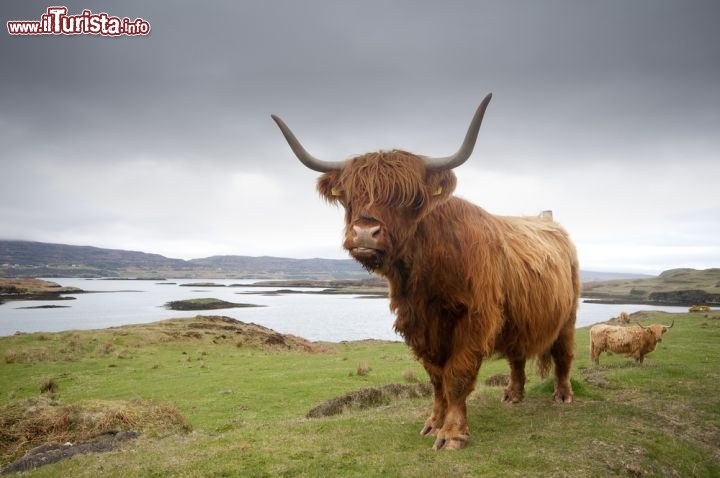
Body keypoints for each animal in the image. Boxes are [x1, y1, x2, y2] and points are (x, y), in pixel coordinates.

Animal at [270, 94, 580, 452]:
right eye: (349, 195)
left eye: (410, 198)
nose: (364, 233)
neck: (427, 272)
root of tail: (548, 220)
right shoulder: (418, 322)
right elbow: (436, 376)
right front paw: (433, 423)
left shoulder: (475, 317)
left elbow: (457, 375)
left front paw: (453, 433)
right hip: (516, 317)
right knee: (516, 356)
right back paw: (513, 395)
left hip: (568, 314)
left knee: (564, 353)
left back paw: (563, 395)